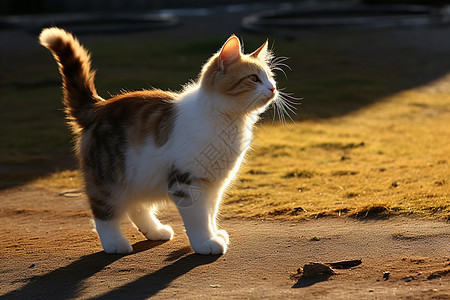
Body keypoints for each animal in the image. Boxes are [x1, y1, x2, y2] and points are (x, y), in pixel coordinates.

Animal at [39, 27, 292, 254]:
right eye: (254, 79)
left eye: (270, 78)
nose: (273, 88)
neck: (228, 122)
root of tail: (99, 106)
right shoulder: (187, 181)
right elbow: (198, 219)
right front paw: (204, 243)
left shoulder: (213, 184)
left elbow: (210, 214)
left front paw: (214, 234)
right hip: (109, 177)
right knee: (104, 212)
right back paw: (115, 243)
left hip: (138, 175)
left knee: (136, 207)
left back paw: (155, 231)